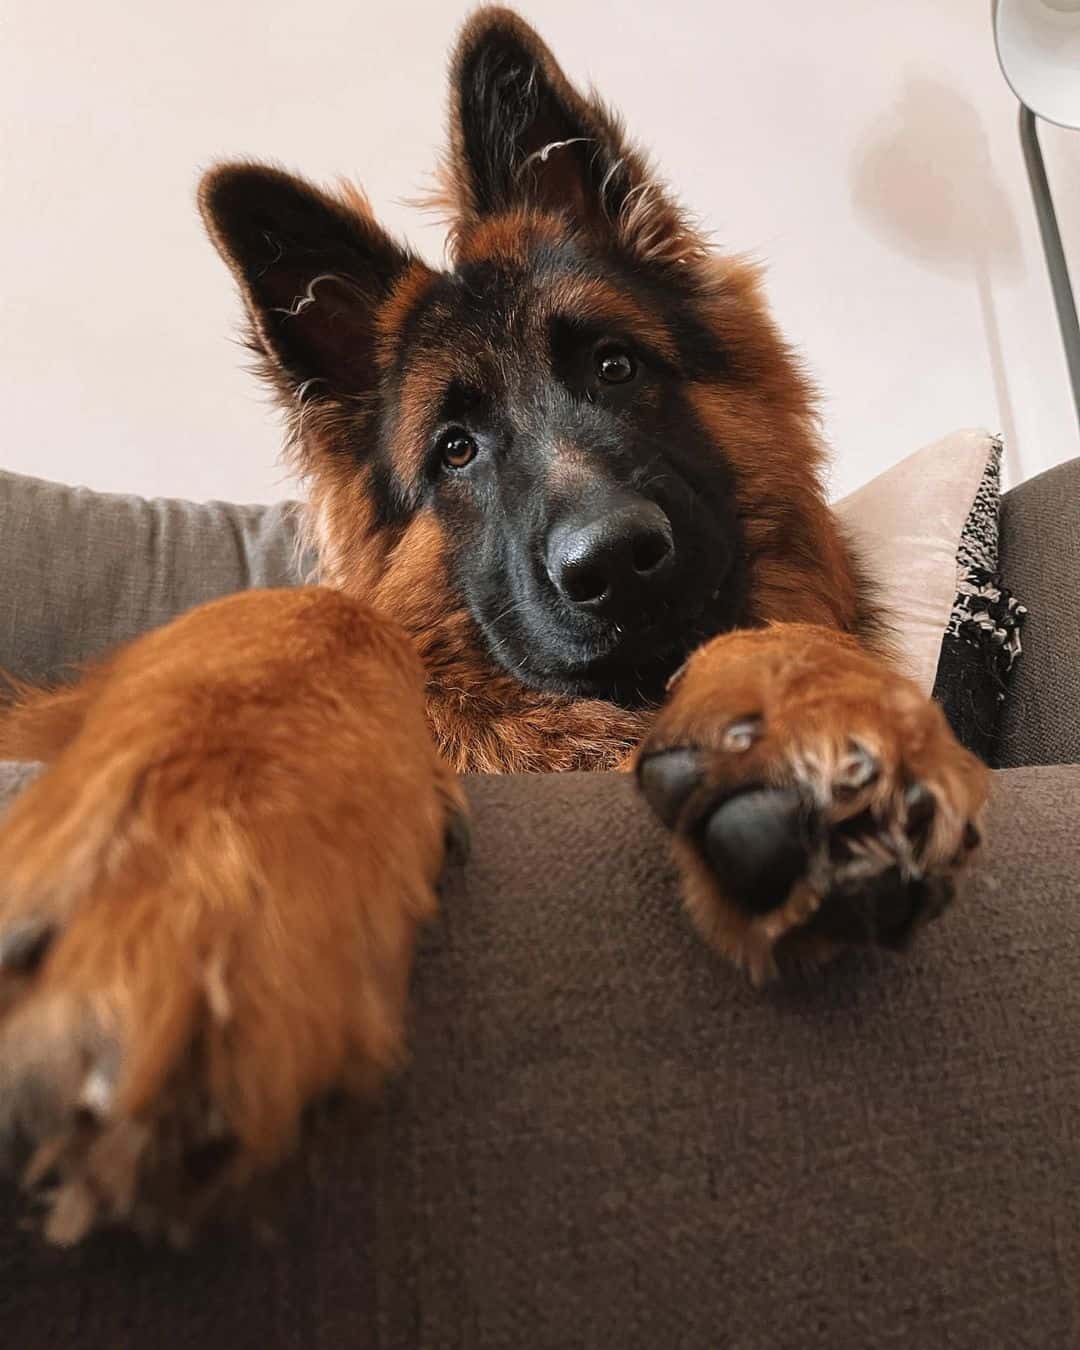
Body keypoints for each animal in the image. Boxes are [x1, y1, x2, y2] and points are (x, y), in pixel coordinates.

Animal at [0, 7, 988, 1242]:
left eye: (615, 366)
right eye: (456, 450)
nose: (612, 565)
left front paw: (814, 710)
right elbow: (318, 627)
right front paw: (205, 870)